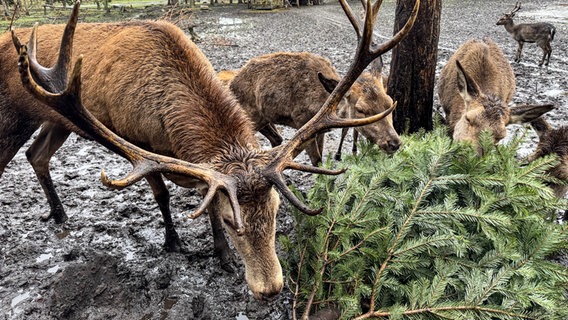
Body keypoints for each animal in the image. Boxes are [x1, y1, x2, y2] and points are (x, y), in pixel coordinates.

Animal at [4, 0, 420, 300]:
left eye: (276, 210)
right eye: (231, 220)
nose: (271, 289)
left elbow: (202, 197)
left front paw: (219, 255)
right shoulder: (140, 144)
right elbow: (163, 194)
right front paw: (179, 242)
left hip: (56, 120)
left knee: (36, 155)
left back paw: (59, 213)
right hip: (12, 117)